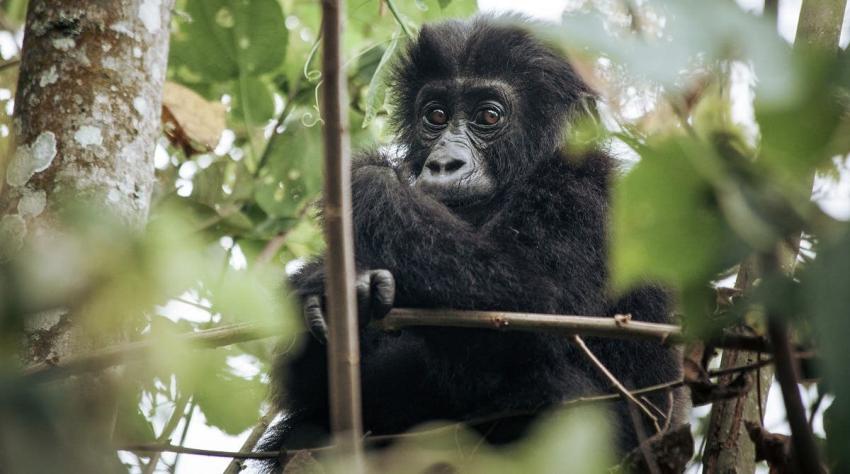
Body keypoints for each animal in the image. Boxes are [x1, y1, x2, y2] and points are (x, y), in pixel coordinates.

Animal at [256, 13, 684, 470]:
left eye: (489, 116)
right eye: (436, 115)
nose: (445, 163)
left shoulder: (585, 196)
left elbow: (531, 301)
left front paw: (365, 180)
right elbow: (316, 389)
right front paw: (326, 291)